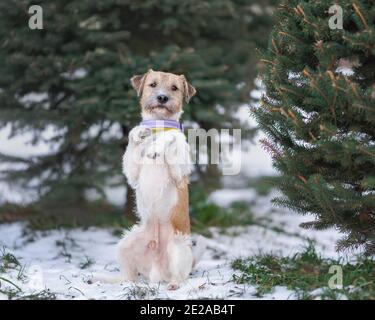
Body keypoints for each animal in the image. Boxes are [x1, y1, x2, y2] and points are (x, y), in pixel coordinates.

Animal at [117, 69, 200, 288]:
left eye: (174, 88)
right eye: (153, 84)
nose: (162, 97)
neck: (158, 125)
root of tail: (156, 272)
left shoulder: (180, 173)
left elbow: (172, 136)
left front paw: (157, 146)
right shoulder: (132, 175)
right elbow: (133, 138)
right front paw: (139, 133)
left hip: (178, 247)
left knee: (179, 276)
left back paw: (173, 285)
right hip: (125, 243)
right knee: (129, 275)